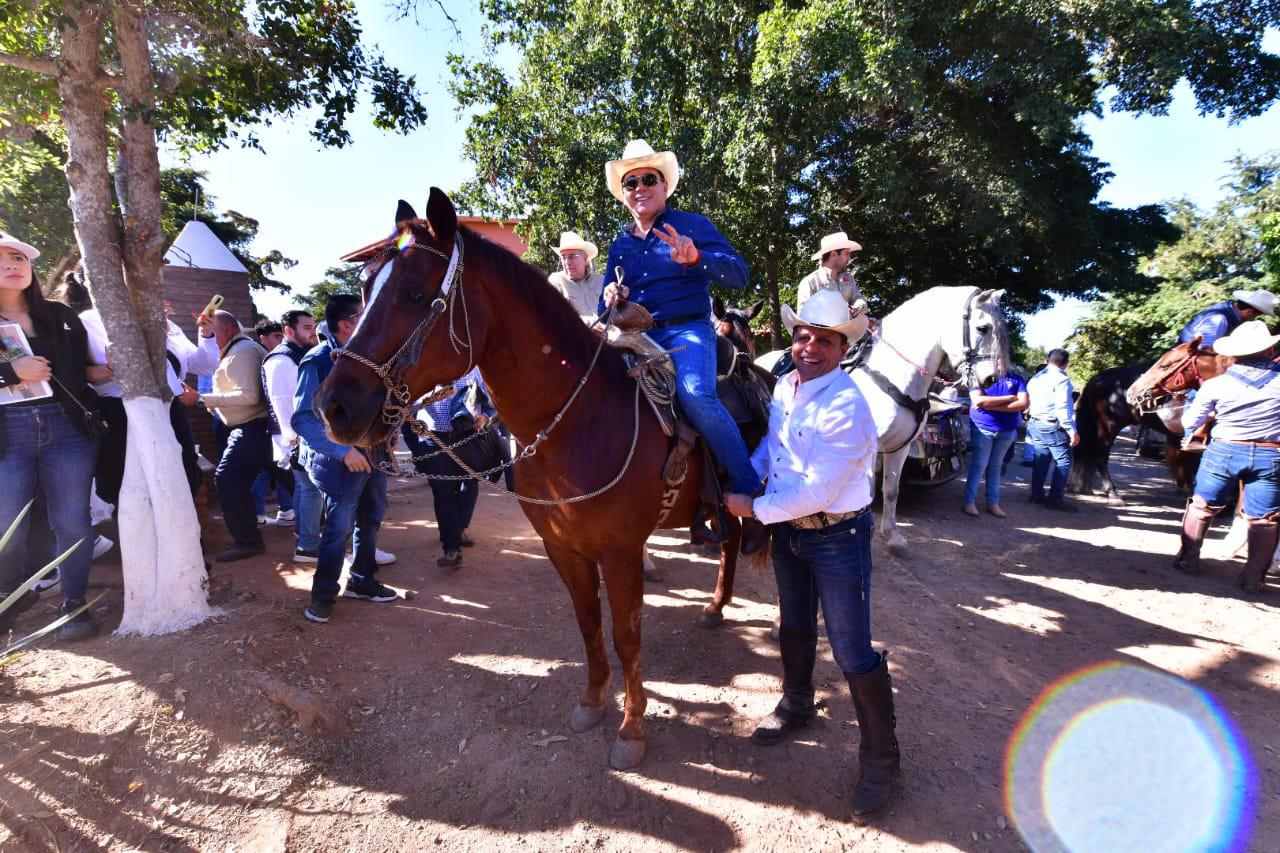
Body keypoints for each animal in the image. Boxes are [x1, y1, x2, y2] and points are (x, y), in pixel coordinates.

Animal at [318, 189, 752, 768]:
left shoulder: (620, 552)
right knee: (731, 542)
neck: (577, 419)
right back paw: (716, 607)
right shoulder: (562, 547)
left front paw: (632, 729)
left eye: (413, 292)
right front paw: (591, 701)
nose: (333, 406)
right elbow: (588, 623)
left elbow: (626, 634)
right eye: (365, 290)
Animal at [757, 285, 1008, 550]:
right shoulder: (868, 452)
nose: (991, 379)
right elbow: (867, 495)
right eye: (983, 328)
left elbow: (890, 490)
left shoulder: (900, 448)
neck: (894, 376)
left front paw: (892, 536)